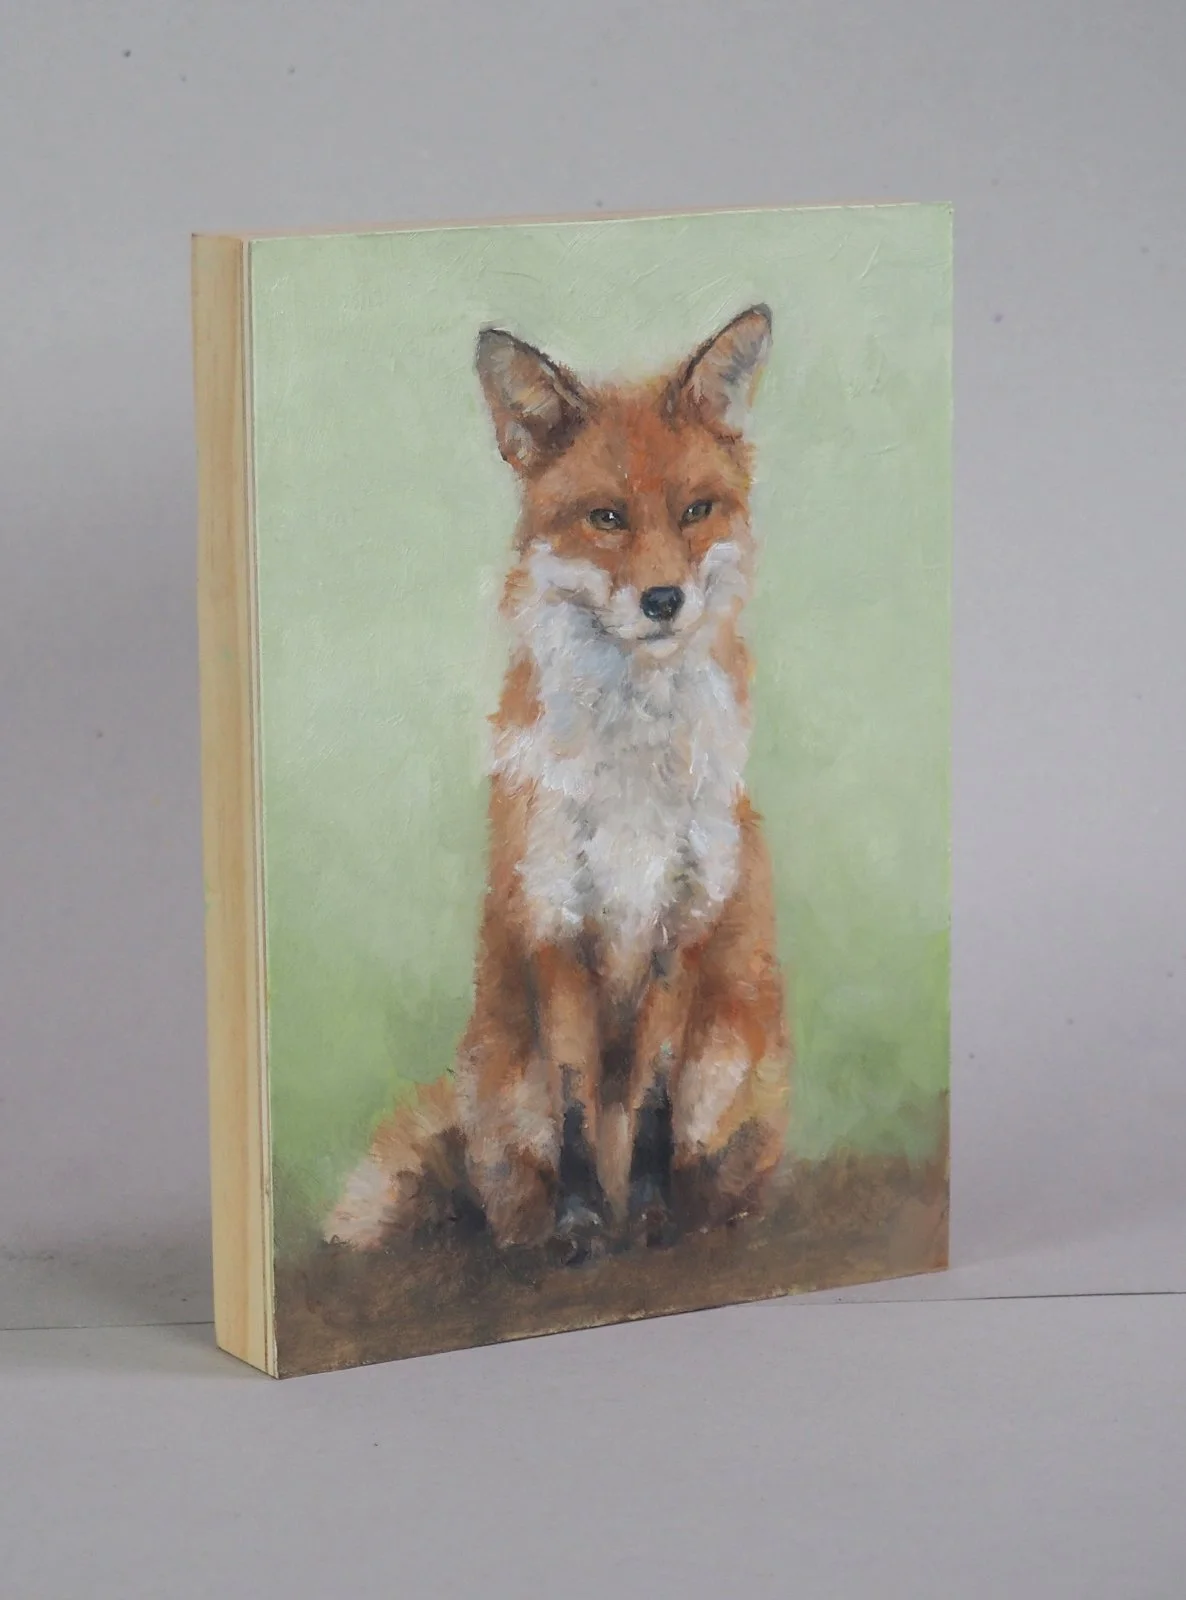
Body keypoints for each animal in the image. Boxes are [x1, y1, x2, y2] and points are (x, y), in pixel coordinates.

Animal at [324, 304, 791, 1263]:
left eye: (696, 511)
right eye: (606, 517)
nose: (663, 601)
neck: (633, 775)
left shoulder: (679, 929)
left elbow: (649, 1102)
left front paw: (646, 1218)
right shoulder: (557, 924)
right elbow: (578, 1104)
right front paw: (580, 1229)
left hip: (732, 1059)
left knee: (719, 1165)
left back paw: (703, 1213)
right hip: (501, 1084)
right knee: (504, 1188)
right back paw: (531, 1227)